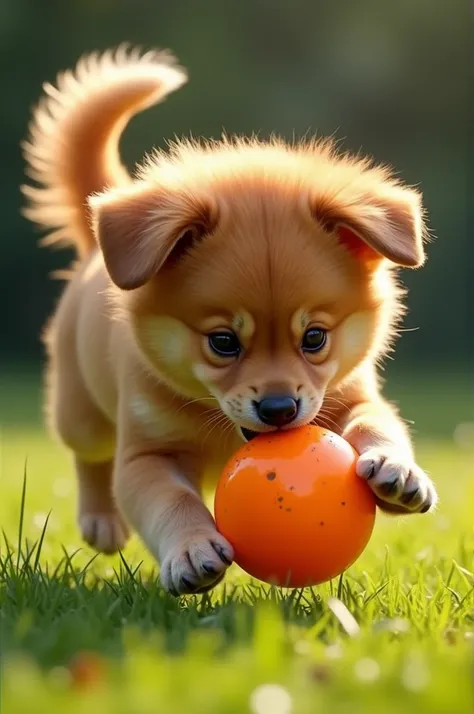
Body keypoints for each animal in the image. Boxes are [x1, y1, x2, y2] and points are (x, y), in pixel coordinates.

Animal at [22, 46, 436, 596]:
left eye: (314, 337)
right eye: (223, 342)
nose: (280, 409)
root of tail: (96, 244)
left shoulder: (351, 396)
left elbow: (376, 421)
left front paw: (396, 469)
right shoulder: (146, 455)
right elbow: (170, 500)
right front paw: (191, 550)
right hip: (79, 410)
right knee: (88, 455)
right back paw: (101, 520)